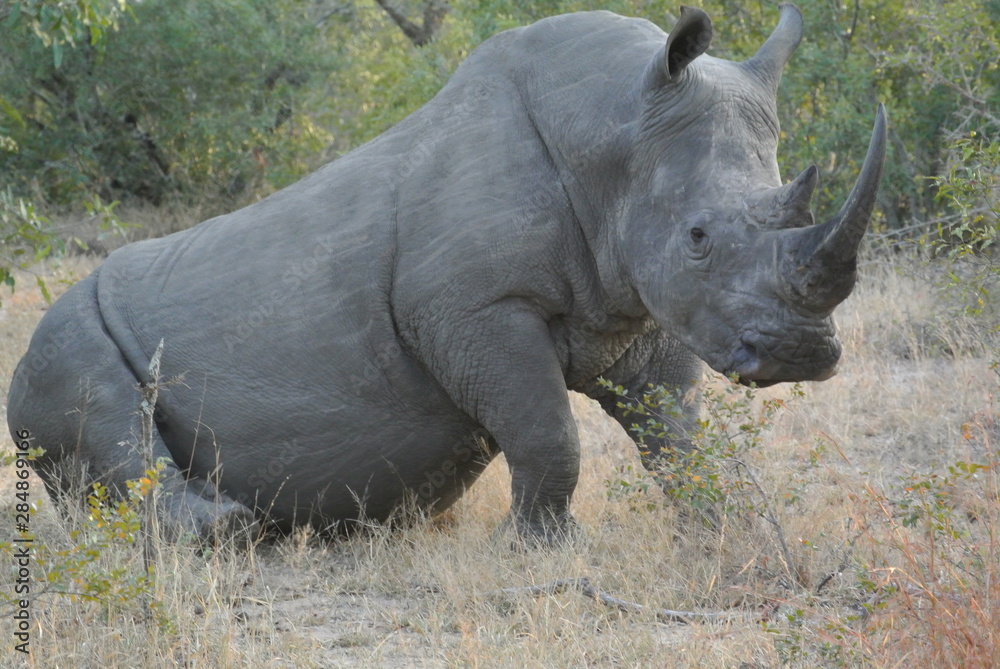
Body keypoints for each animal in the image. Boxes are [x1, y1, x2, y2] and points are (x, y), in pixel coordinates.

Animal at [7, 4, 886, 543]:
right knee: (98, 391)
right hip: (57, 337)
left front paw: (732, 529)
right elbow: (548, 431)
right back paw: (230, 529)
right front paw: (542, 550)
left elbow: (678, 437)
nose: (803, 352)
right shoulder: (469, 308)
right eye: (699, 236)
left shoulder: (644, 308)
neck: (615, 132)